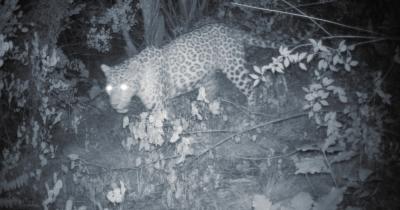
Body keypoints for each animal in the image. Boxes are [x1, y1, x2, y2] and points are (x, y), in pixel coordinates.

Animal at [101, 23, 274, 113]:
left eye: (124, 87)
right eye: (109, 89)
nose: (114, 105)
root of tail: (230, 28)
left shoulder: (160, 104)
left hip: (234, 68)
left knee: (250, 87)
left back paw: (252, 112)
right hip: (208, 77)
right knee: (213, 90)